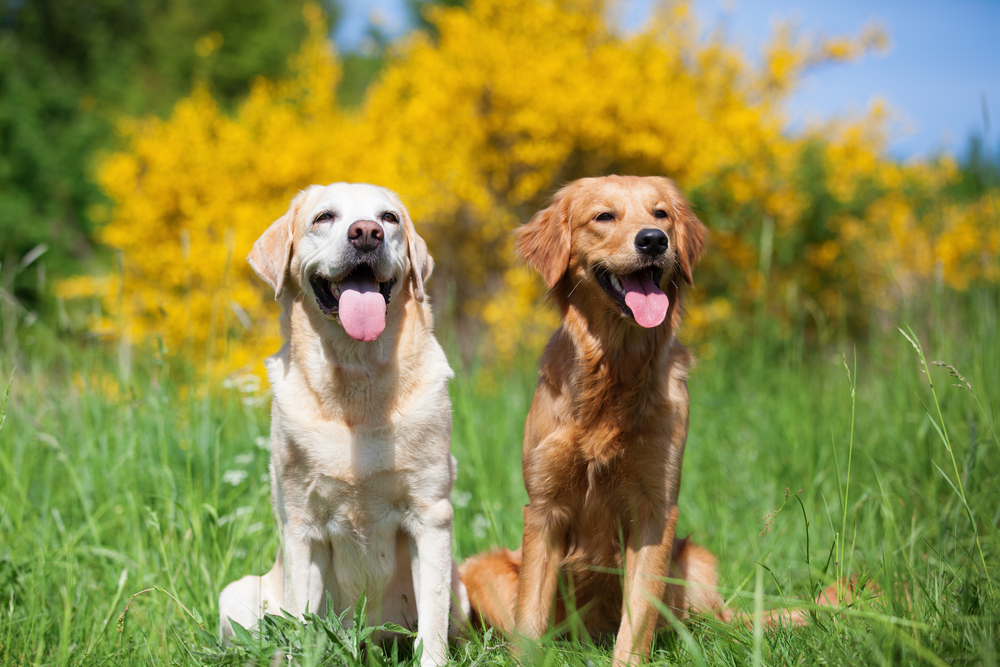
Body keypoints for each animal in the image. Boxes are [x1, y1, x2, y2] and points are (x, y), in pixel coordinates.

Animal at [220, 184, 468, 667]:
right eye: (324, 217)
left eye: (389, 218)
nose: (367, 233)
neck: (357, 379)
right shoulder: (302, 526)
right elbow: (300, 622)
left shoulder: (431, 517)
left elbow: (432, 626)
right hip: (236, 595)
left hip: (460, 589)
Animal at [460, 176, 860, 664]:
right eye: (604, 216)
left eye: (661, 214)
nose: (653, 240)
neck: (615, 370)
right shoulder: (544, 508)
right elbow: (530, 621)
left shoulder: (656, 508)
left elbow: (637, 619)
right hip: (481, 569)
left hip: (697, 563)